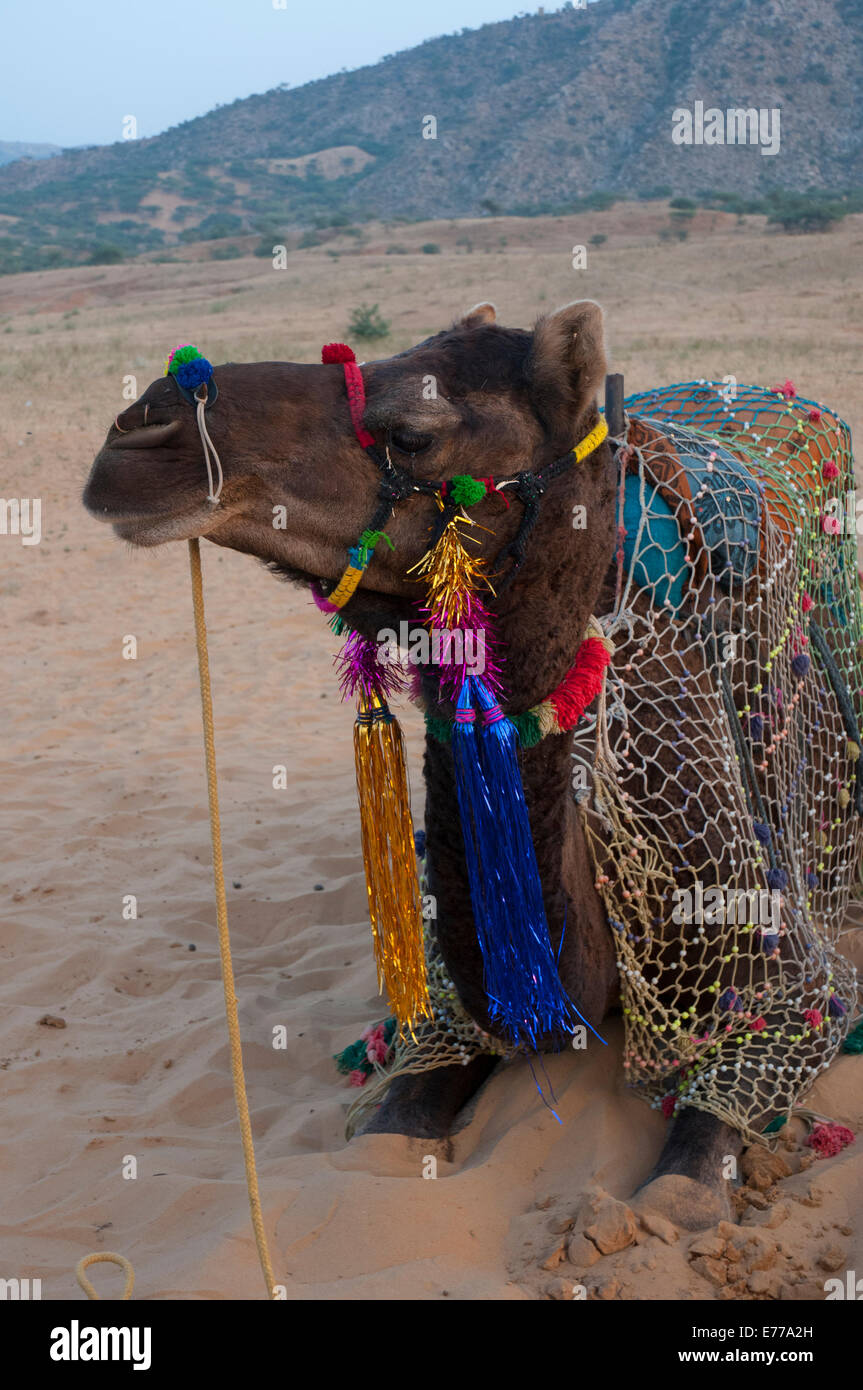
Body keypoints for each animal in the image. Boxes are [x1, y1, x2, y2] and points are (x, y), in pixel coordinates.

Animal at [84, 301, 856, 1228]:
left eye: (413, 433)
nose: (138, 431)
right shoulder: (446, 1012)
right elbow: (385, 1135)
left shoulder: (780, 985)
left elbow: (685, 1182)